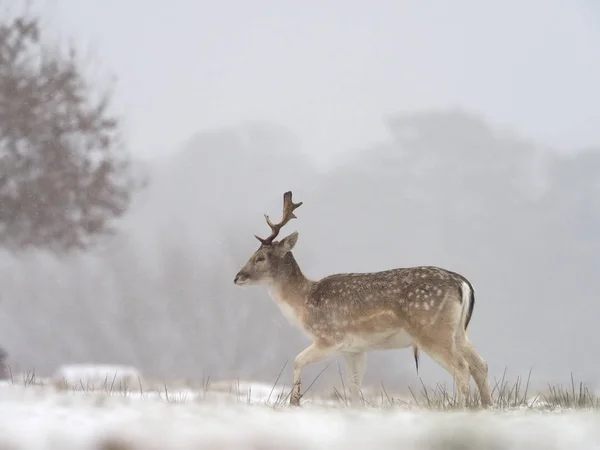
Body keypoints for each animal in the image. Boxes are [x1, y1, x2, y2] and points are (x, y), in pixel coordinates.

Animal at [234, 190, 492, 408]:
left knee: (462, 368)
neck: (304, 302)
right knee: (481, 365)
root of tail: (462, 284)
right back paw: (486, 407)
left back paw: (459, 408)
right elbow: (354, 385)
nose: (237, 277)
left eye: (260, 257)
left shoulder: (331, 337)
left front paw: (295, 401)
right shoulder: (355, 348)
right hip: (457, 332)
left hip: (431, 330)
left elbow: (297, 360)